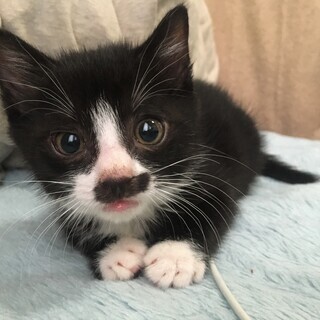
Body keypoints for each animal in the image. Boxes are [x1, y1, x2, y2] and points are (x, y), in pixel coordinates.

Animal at [0, 6, 316, 288]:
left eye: (149, 131)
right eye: (69, 142)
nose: (117, 181)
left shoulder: (213, 173)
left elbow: (211, 210)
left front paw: (174, 256)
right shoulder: (63, 202)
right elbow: (73, 225)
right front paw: (115, 252)